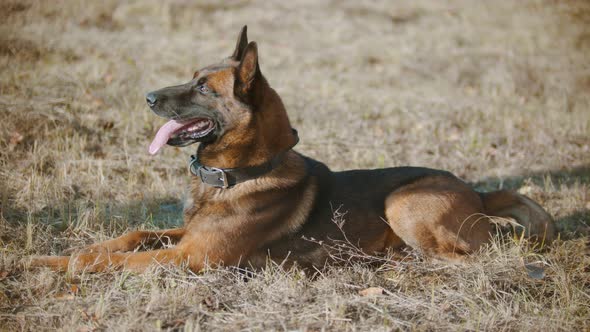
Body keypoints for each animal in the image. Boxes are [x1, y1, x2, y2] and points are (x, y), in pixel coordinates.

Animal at [31, 26, 560, 272]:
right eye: (191, 77)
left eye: (202, 87)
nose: (147, 97)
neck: (238, 175)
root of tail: (477, 191)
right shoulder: (185, 238)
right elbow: (132, 236)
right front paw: (63, 254)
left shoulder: (191, 256)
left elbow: (117, 260)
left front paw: (63, 265)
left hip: (403, 201)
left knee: (468, 256)